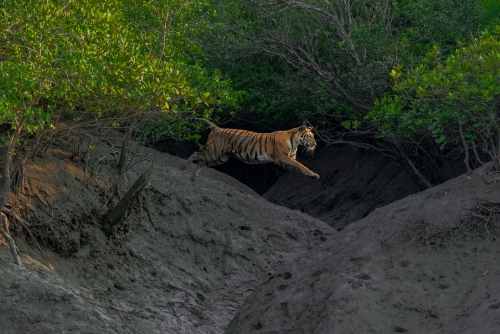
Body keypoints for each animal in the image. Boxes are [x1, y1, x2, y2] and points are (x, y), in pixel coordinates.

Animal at [180, 118, 320, 181]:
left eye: (313, 136)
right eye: (309, 136)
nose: (315, 144)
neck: (296, 142)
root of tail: (217, 128)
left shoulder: (286, 159)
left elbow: (297, 165)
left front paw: (311, 174)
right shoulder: (281, 157)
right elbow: (300, 165)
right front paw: (313, 173)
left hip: (221, 158)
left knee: (202, 162)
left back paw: (193, 178)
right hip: (213, 152)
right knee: (196, 154)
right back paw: (183, 167)